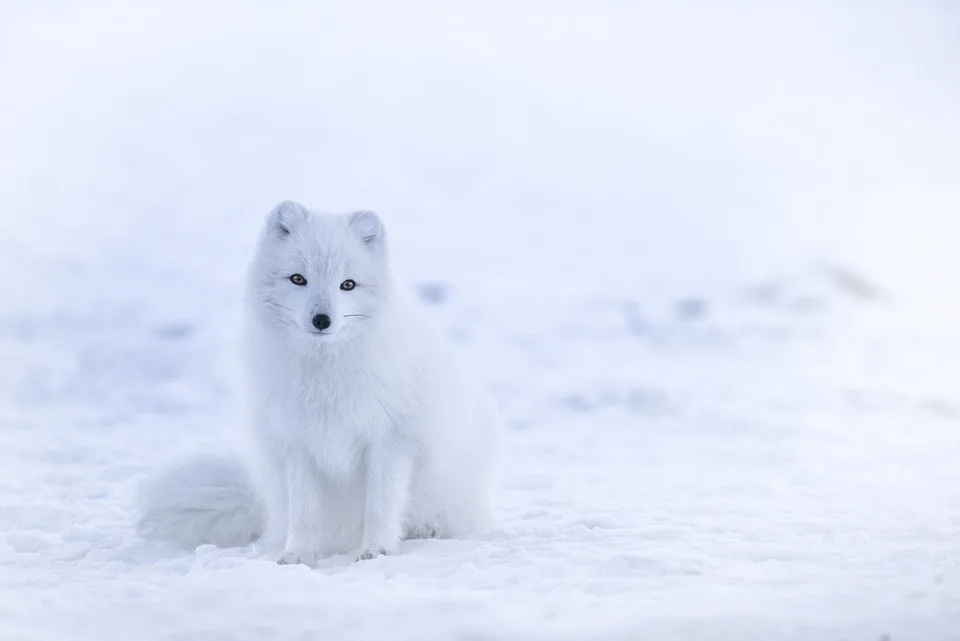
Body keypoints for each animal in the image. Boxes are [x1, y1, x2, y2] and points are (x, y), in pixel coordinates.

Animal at [137, 201, 502, 564]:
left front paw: (376, 549)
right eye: (298, 279)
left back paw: (422, 530)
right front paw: (298, 555)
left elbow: (381, 505)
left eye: (348, 284)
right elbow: (304, 512)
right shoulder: (298, 444)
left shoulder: (391, 441)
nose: (322, 320)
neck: (325, 374)